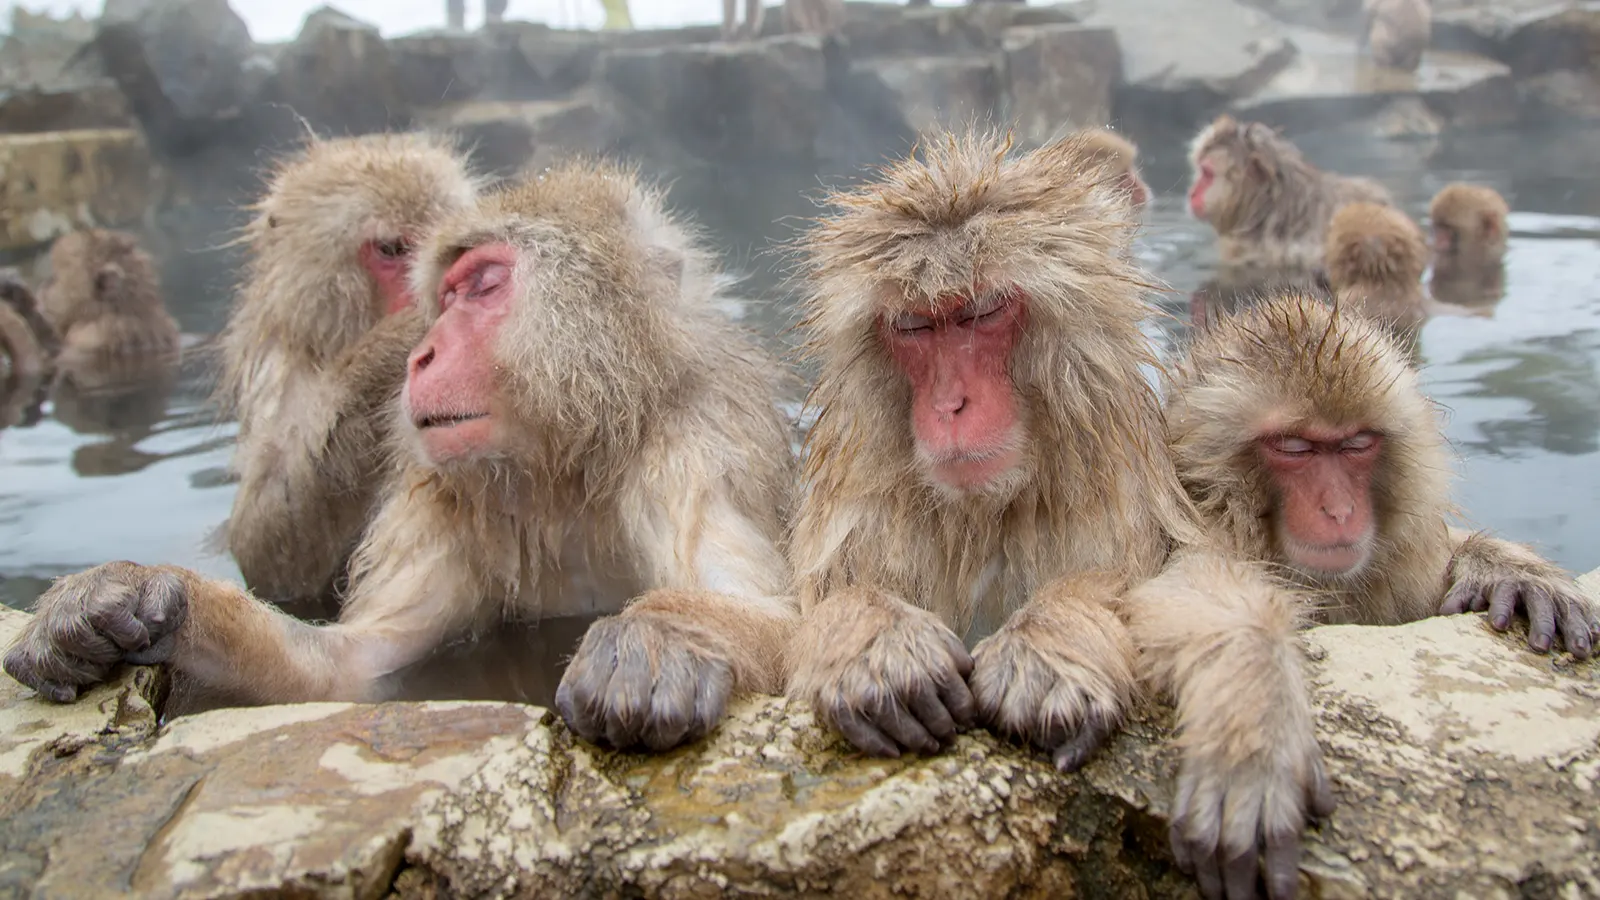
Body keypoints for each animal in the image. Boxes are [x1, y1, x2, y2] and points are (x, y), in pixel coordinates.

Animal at [784, 129, 1216, 778]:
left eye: (981, 312)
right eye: (913, 326)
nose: (950, 405)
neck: (987, 508)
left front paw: (1052, 639)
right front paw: (873, 637)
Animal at [1135, 290, 1598, 900]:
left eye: (1356, 444)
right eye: (1295, 448)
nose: (1339, 510)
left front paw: (1509, 570)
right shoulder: (1199, 531)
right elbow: (1192, 590)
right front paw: (1254, 725)